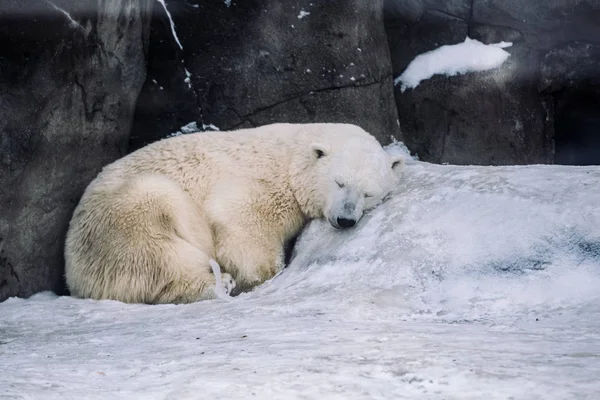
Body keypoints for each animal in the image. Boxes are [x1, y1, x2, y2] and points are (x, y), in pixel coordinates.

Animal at [64, 122, 404, 304]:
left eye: (368, 193)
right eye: (339, 182)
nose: (345, 219)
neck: (291, 160)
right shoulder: (257, 184)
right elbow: (242, 221)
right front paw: (263, 274)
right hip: (122, 219)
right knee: (160, 252)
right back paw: (219, 283)